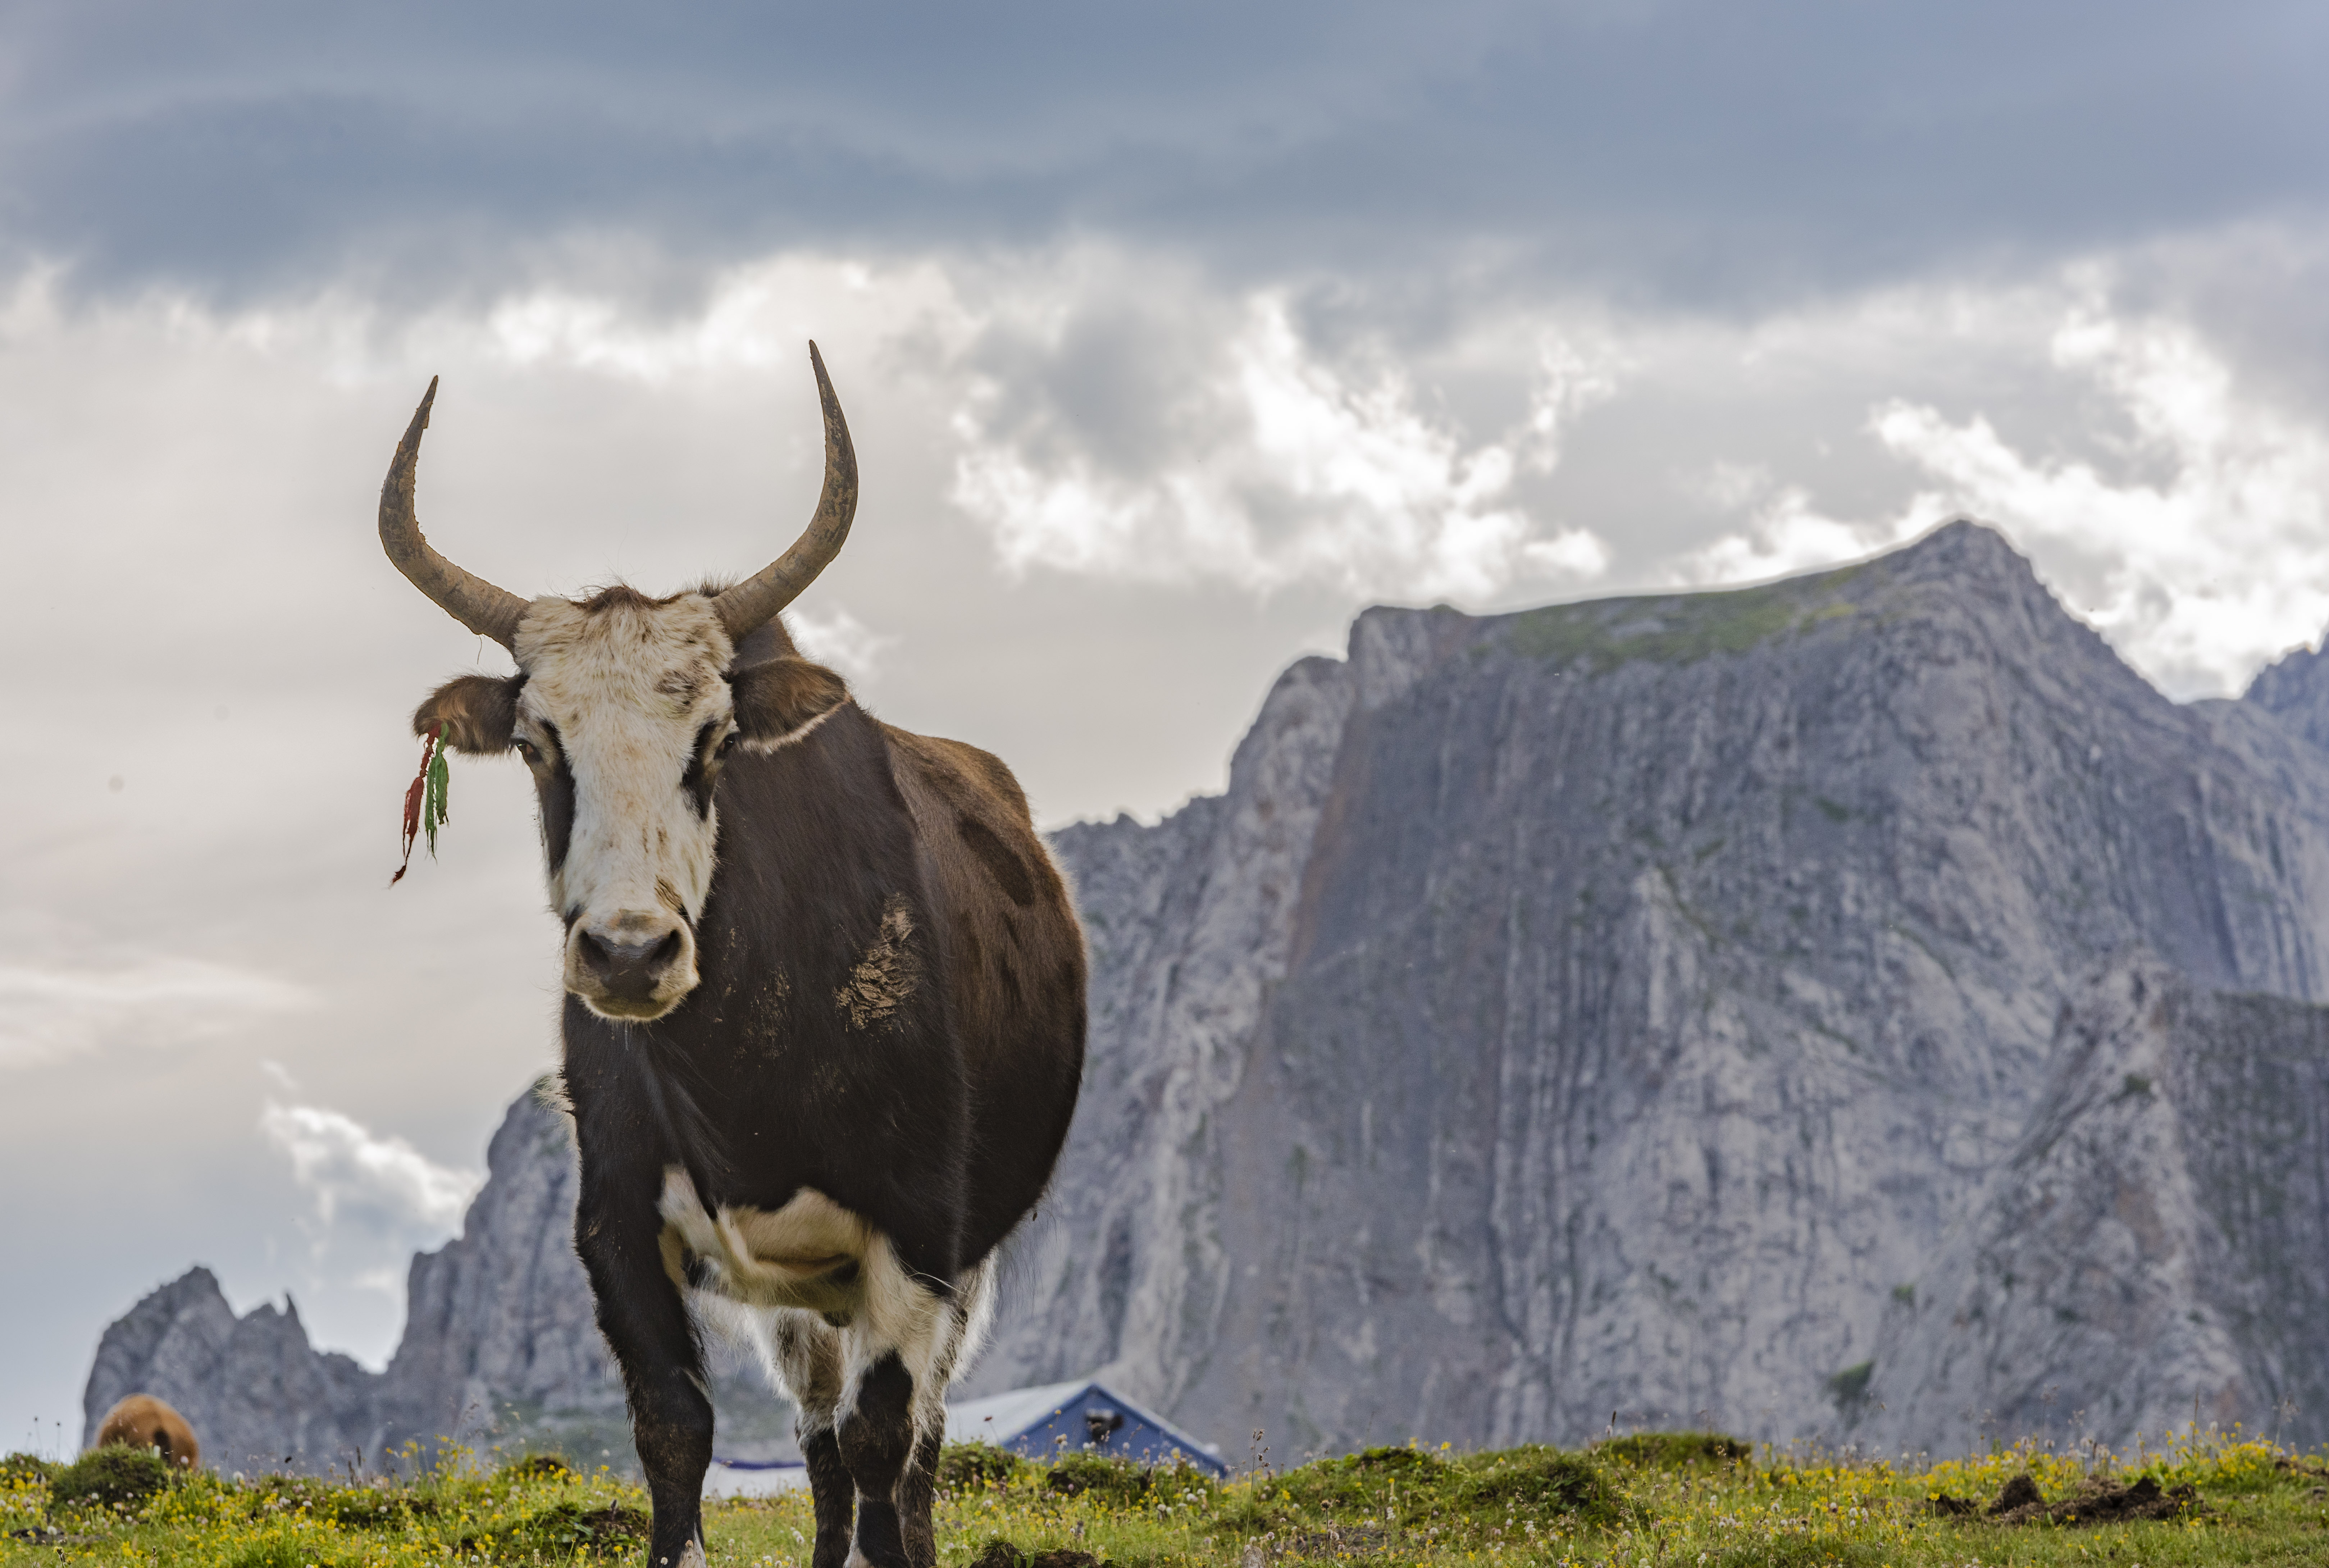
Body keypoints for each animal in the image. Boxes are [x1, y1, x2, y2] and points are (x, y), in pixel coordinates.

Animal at [375, 349, 1090, 1565]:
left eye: (711, 743)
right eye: (538, 745)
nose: (627, 955)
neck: (748, 1061)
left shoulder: (918, 1234)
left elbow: (885, 1436)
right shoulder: (617, 1226)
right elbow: (676, 1431)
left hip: (960, 1263)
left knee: (912, 1446)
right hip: (800, 1302)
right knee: (815, 1439)